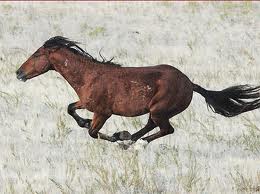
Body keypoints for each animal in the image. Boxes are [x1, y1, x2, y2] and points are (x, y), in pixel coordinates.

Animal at [15, 36, 260, 143]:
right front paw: (89, 123)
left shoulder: (103, 112)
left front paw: (114, 136)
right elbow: (70, 109)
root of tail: (190, 83)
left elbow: (93, 132)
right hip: (156, 110)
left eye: (36, 54)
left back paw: (133, 141)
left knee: (165, 129)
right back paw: (129, 138)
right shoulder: (86, 103)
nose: (18, 73)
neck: (88, 76)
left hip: (160, 109)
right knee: (152, 125)